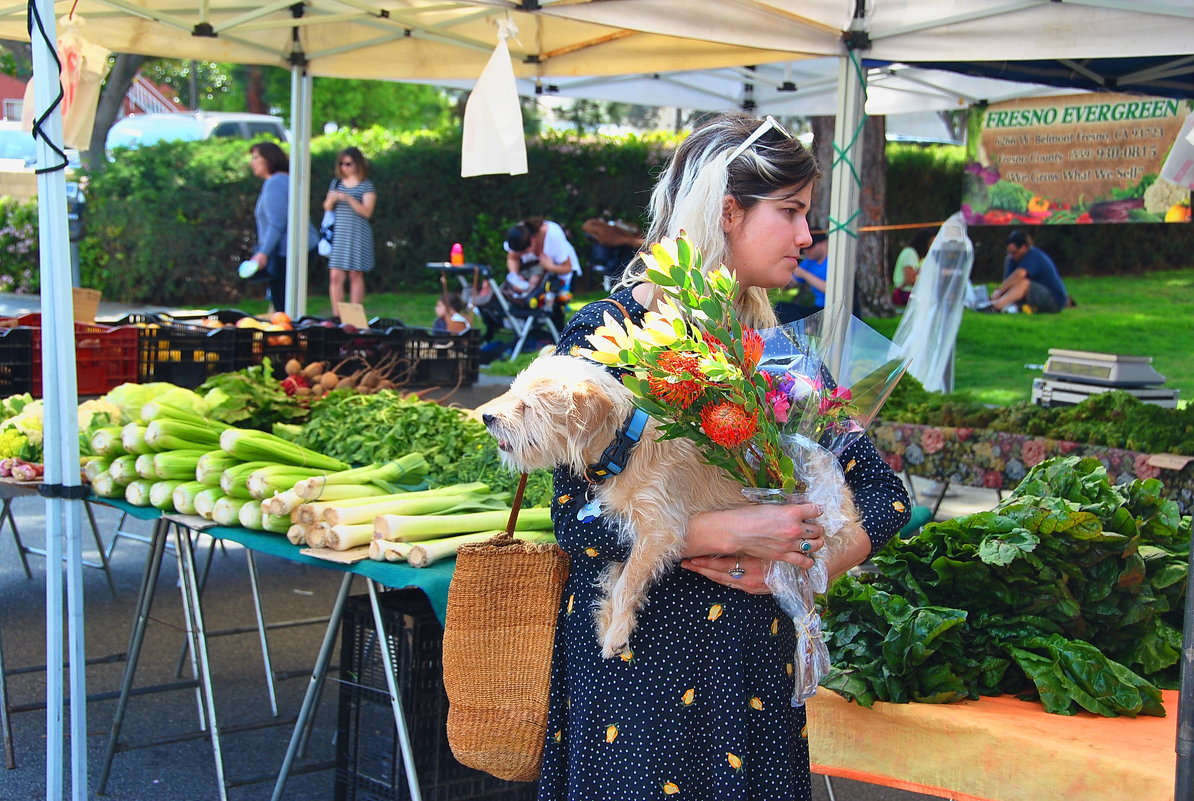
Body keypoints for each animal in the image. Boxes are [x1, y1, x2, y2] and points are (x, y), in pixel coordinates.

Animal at [477, 353, 859, 658]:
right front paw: (608, 619)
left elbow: (628, 581)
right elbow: (617, 576)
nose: (486, 418)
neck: (625, 445)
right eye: (514, 393)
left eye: (528, 407)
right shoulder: (633, 531)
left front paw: (615, 631)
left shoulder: (659, 530)